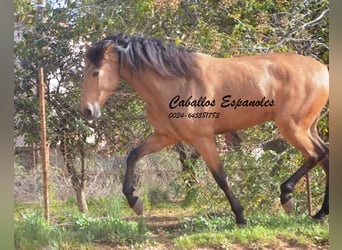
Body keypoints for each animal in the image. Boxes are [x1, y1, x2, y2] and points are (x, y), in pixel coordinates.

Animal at [81, 33, 328, 225]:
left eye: (96, 72)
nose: (88, 111)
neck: (177, 81)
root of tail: (322, 70)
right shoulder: (166, 137)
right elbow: (132, 156)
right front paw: (135, 202)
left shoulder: (203, 139)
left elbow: (220, 177)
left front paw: (240, 216)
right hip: (308, 128)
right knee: (325, 156)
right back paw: (319, 214)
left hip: (293, 127)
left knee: (315, 156)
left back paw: (287, 198)